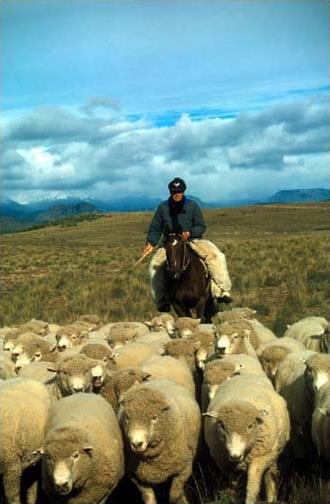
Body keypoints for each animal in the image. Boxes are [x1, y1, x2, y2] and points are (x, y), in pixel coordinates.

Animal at [202, 374, 290, 504]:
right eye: (222, 425)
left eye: (250, 426)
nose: (235, 456)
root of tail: (244, 375)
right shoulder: (227, 466)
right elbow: (237, 487)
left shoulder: (261, 458)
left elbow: (252, 485)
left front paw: (250, 499)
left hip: (273, 455)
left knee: (270, 476)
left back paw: (271, 498)